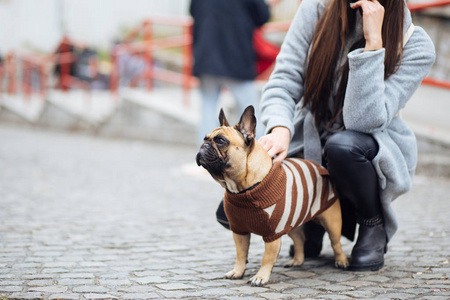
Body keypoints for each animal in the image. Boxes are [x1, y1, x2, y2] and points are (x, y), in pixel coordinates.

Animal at [196, 105, 348, 286]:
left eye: (220, 141)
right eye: (205, 138)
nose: (203, 146)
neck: (244, 188)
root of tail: (316, 165)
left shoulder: (273, 234)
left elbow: (267, 258)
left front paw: (260, 277)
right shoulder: (239, 231)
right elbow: (241, 254)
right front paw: (238, 271)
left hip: (331, 220)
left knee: (335, 242)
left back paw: (341, 261)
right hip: (291, 222)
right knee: (299, 238)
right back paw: (297, 261)